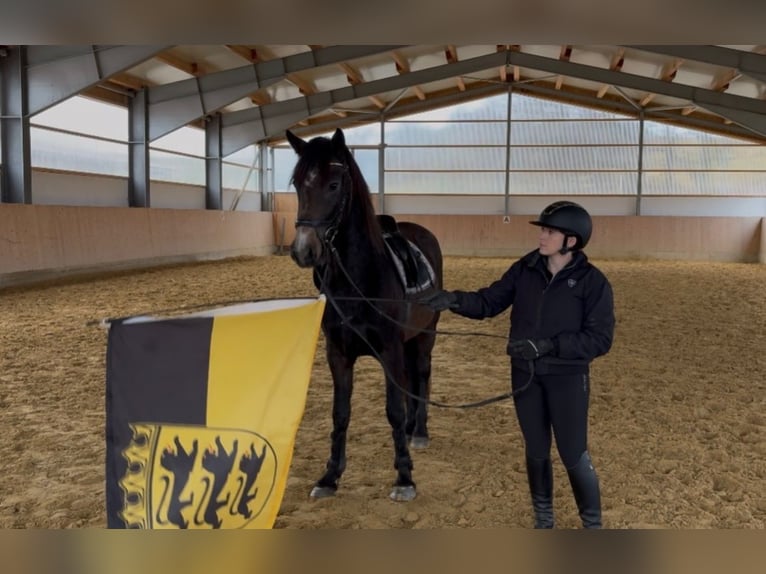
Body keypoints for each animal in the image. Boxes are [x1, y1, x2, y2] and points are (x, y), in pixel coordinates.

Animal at [285, 127, 444, 502]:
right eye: (297, 184)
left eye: (333, 184)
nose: (303, 251)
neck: (358, 280)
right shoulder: (338, 354)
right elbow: (340, 413)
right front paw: (329, 477)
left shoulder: (389, 350)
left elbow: (394, 411)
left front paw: (404, 478)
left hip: (425, 336)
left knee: (422, 375)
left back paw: (420, 432)